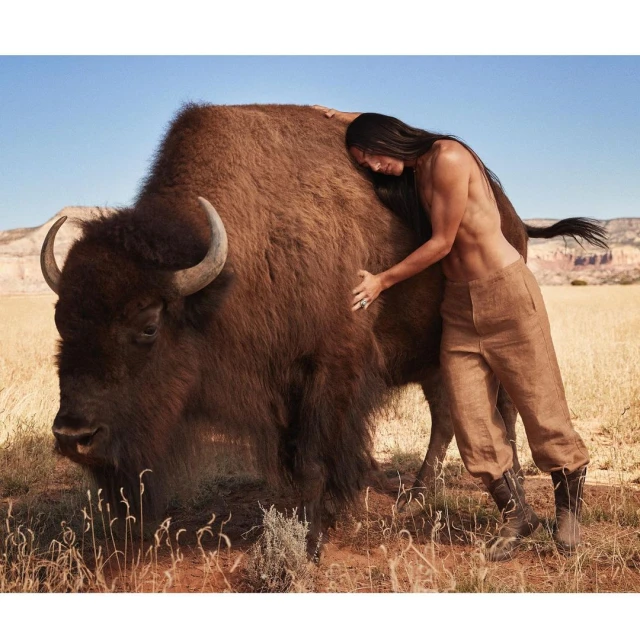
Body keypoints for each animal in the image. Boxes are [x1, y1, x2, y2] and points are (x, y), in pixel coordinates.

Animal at [41, 104, 606, 552]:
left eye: (149, 324)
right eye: (61, 320)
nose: (73, 436)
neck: (232, 267)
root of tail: (514, 218)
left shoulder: (329, 369)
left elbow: (314, 459)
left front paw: (312, 540)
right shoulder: (284, 386)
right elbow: (296, 460)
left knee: (501, 408)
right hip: (435, 355)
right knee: (448, 414)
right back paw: (418, 495)